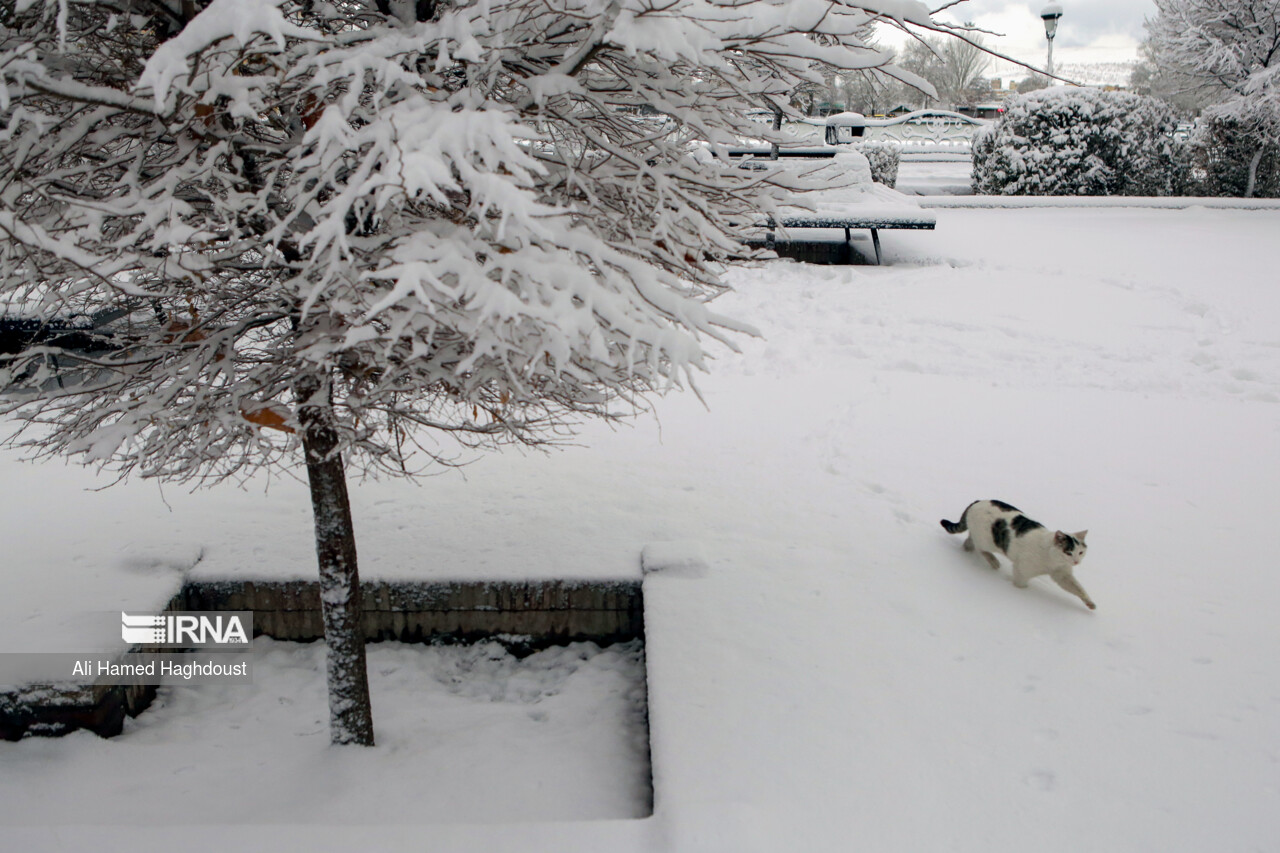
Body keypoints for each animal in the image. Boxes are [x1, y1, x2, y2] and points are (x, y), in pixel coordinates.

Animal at [936, 502, 1095, 607]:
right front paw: (1021, 594)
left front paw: (1090, 603)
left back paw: (968, 551)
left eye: (1080, 552)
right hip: (986, 541)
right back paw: (993, 561)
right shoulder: (1022, 570)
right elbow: (1020, 584)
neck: (1052, 561)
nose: (1076, 561)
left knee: (969, 541)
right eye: (1068, 552)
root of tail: (976, 502)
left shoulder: (1062, 575)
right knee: (980, 548)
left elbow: (1077, 588)